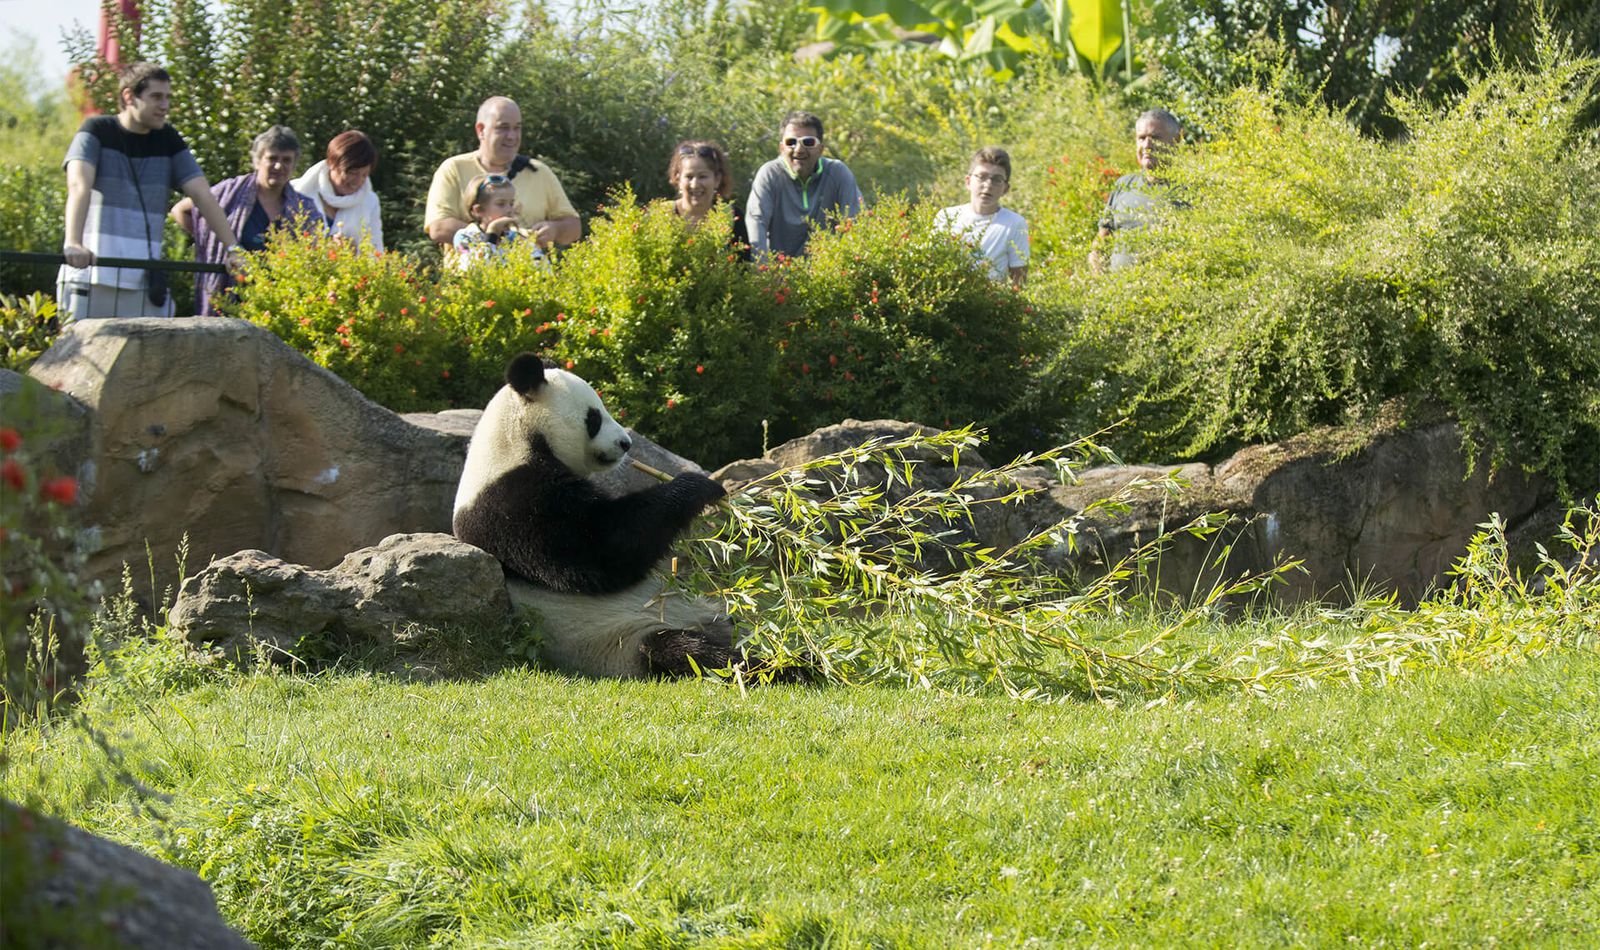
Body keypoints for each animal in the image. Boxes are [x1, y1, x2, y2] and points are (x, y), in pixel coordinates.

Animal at [453, 353, 738, 678]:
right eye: (594, 418)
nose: (626, 443)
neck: (513, 441)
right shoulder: (510, 502)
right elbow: (598, 550)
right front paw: (699, 486)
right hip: (622, 640)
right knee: (688, 651)